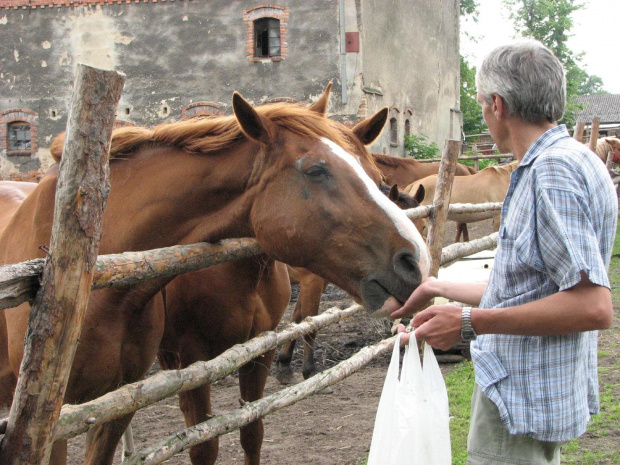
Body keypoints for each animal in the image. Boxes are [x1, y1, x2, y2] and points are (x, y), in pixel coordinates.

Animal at [276, 183, 426, 386]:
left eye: (423, 226)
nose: (413, 267)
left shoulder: (317, 283)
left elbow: (297, 320)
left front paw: (284, 367)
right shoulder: (311, 282)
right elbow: (310, 323)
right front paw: (310, 371)